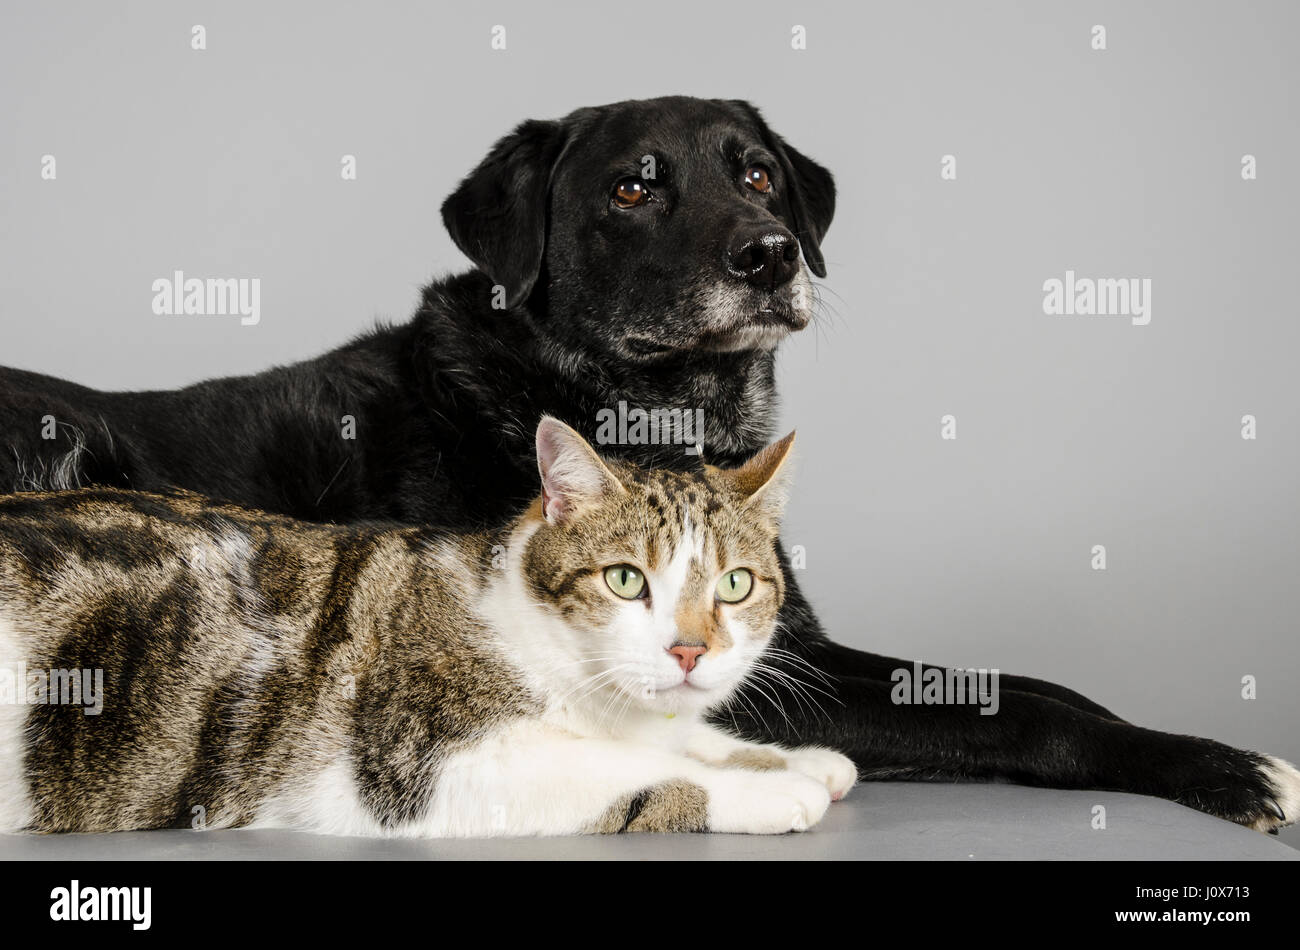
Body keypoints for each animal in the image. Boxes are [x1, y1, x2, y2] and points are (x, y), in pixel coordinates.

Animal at [0, 421, 852, 836]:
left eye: (735, 585)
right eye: (625, 580)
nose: (689, 649)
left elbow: (687, 740)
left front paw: (796, 760)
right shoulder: (416, 763)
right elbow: (632, 771)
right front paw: (773, 792)